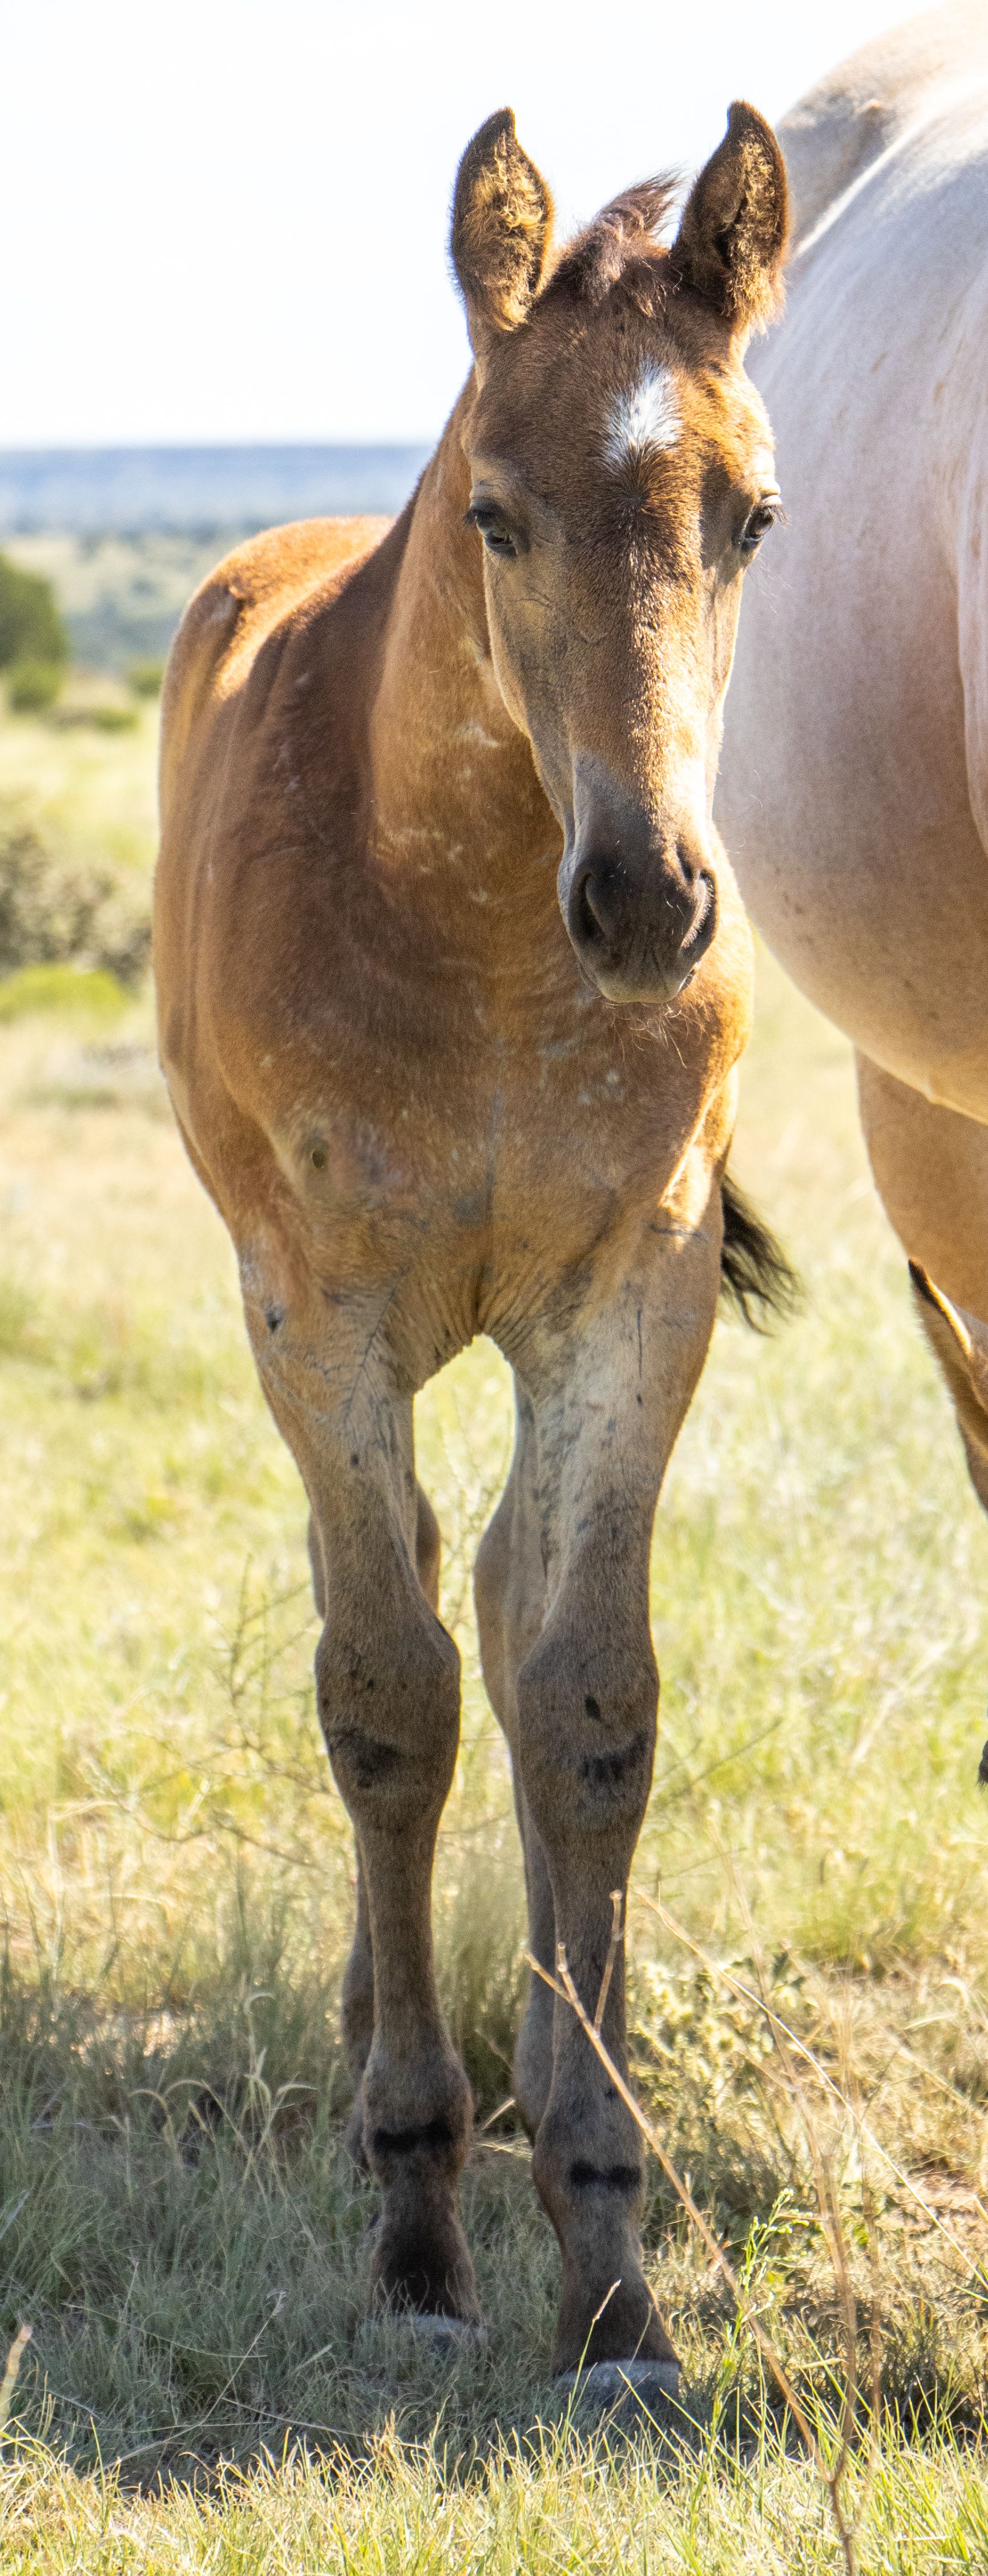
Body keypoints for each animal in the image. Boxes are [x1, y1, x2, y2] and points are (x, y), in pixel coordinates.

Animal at [154, 100, 790, 2399]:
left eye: (751, 519)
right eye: (499, 516)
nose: (651, 900)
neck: (491, 934)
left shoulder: (635, 1294)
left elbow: (581, 1701)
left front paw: (609, 2274)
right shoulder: (320, 1309)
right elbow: (384, 1705)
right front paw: (418, 2236)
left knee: (502, 1600)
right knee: (413, 1614)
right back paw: (383, 2038)